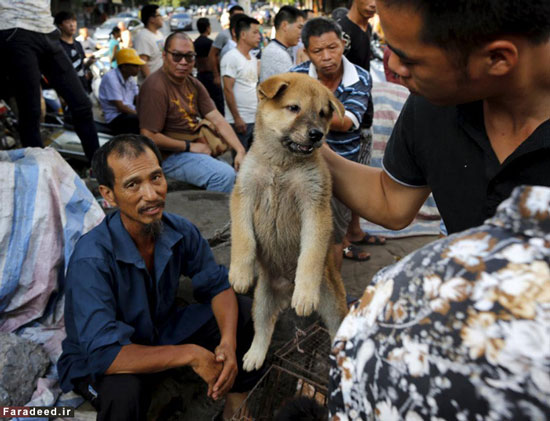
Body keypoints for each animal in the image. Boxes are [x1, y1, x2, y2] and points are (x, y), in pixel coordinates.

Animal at [229, 72, 350, 370]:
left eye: (322, 114)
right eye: (294, 108)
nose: (317, 134)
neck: (281, 165)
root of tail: (285, 291)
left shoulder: (315, 206)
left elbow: (310, 254)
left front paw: (305, 293)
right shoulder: (243, 195)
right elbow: (243, 239)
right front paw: (240, 274)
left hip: (331, 301)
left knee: (336, 331)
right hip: (261, 301)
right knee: (263, 329)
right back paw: (254, 356)